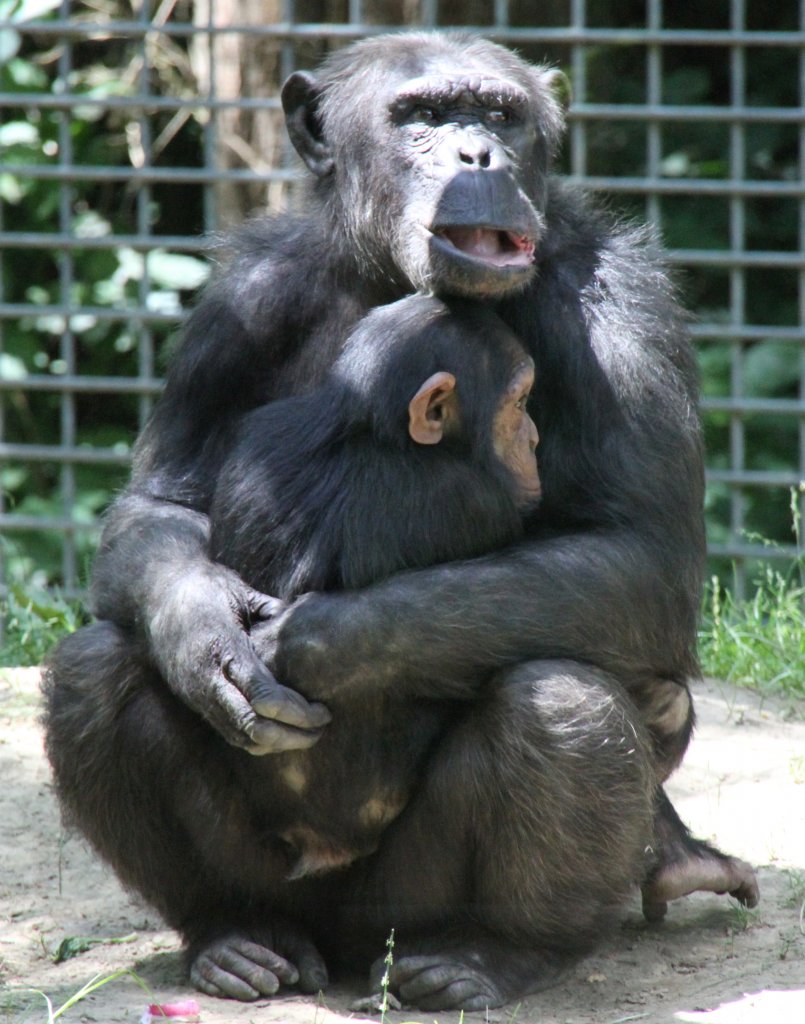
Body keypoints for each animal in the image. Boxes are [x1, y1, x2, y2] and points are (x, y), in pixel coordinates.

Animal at [40, 28, 757, 1011]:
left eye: (498, 113)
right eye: (419, 115)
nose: (477, 156)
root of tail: (341, 946)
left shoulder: (621, 308)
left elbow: (638, 556)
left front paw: (320, 640)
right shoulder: (237, 304)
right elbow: (160, 504)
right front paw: (206, 637)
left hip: (401, 903)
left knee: (558, 702)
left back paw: (496, 952)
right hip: (285, 883)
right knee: (94, 670)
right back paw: (234, 936)